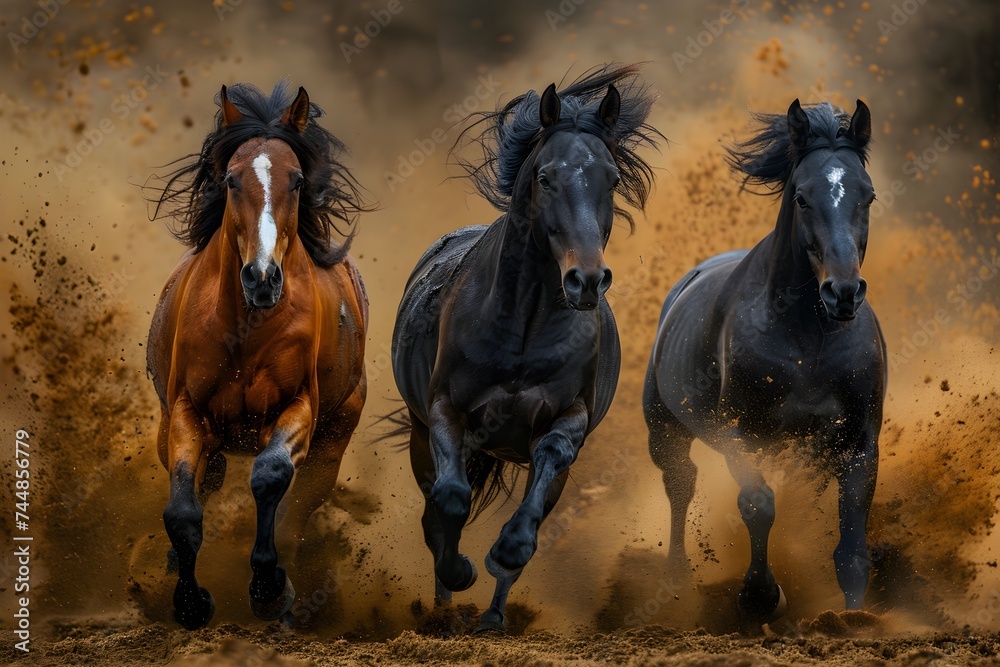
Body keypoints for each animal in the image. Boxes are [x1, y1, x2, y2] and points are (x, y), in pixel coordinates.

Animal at [147, 82, 369, 629]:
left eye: (296, 180)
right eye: (230, 179)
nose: (262, 277)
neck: (244, 332)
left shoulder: (297, 408)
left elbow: (270, 478)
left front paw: (268, 589)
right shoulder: (186, 411)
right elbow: (182, 511)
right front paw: (189, 602)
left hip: (331, 446)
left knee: (295, 508)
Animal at [391, 64, 661, 632]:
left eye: (612, 178)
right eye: (545, 177)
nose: (586, 279)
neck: (525, 328)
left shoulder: (568, 419)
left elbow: (537, 497)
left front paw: (503, 554)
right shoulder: (445, 412)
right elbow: (450, 501)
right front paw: (461, 572)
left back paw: (493, 617)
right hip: (421, 439)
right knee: (433, 511)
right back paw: (444, 612)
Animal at [643, 99, 886, 618]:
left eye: (869, 195)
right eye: (802, 198)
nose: (843, 292)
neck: (809, 339)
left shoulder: (858, 440)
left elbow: (851, 543)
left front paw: (853, 618)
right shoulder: (739, 434)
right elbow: (758, 504)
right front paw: (760, 596)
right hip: (665, 429)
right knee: (680, 484)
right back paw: (677, 580)